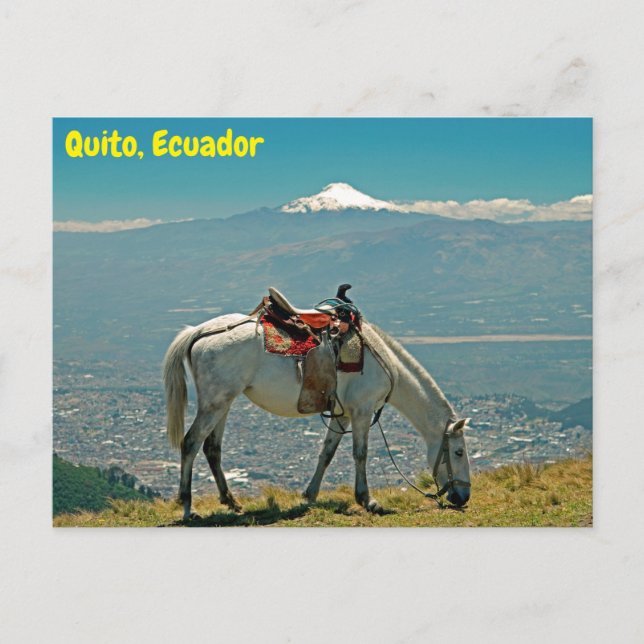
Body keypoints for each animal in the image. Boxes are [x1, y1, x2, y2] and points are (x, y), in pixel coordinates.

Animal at [163, 313, 472, 520]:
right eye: (458, 452)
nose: (463, 497)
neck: (384, 362)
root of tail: (200, 331)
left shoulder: (342, 415)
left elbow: (327, 453)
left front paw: (310, 494)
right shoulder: (362, 411)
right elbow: (361, 454)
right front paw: (368, 500)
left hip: (223, 403)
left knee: (211, 448)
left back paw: (232, 502)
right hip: (214, 403)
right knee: (190, 443)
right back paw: (188, 508)